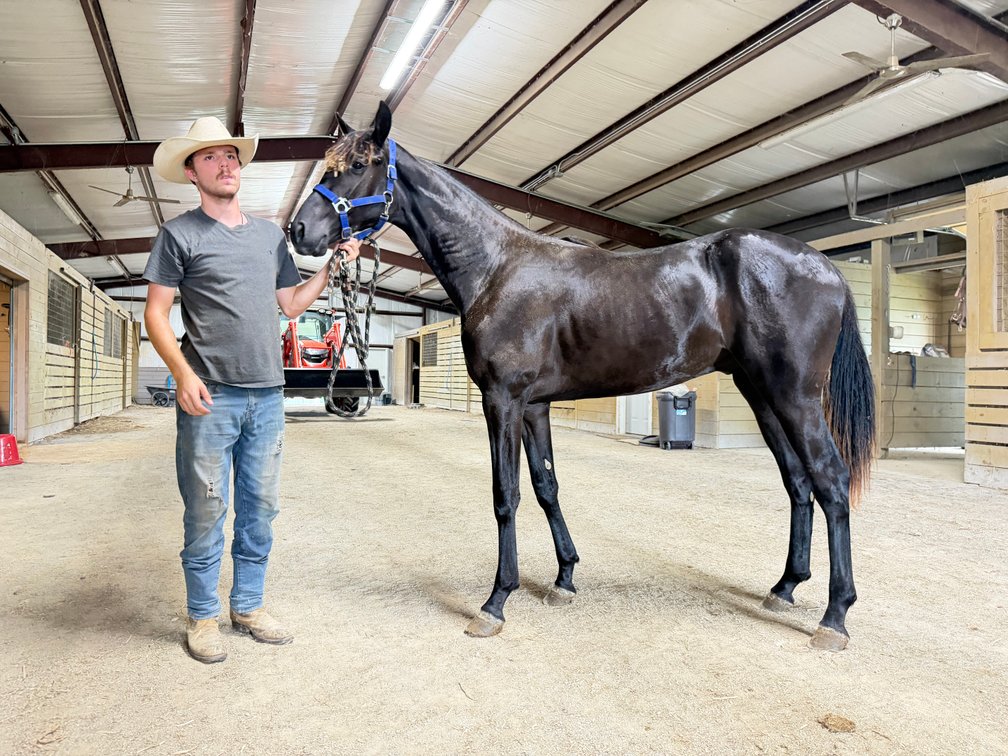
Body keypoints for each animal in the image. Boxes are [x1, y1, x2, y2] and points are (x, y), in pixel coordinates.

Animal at [289, 101, 875, 651]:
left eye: (359, 164)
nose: (299, 230)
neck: (497, 268)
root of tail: (825, 265)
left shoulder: (502, 400)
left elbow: (506, 494)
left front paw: (497, 600)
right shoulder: (533, 406)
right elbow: (546, 486)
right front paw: (564, 578)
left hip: (795, 395)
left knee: (830, 479)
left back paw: (835, 616)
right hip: (760, 393)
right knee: (798, 481)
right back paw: (784, 588)